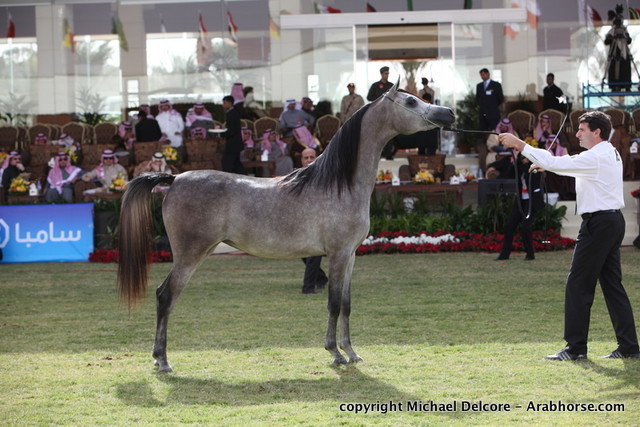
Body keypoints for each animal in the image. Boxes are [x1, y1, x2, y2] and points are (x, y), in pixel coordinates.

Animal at [117, 80, 456, 372]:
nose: (448, 114)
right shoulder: (337, 254)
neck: (339, 183)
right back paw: (162, 361)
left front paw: (352, 352)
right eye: (411, 102)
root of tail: (175, 178)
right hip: (190, 255)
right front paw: (335, 353)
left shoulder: (350, 256)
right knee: (165, 296)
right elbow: (333, 304)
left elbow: (346, 305)